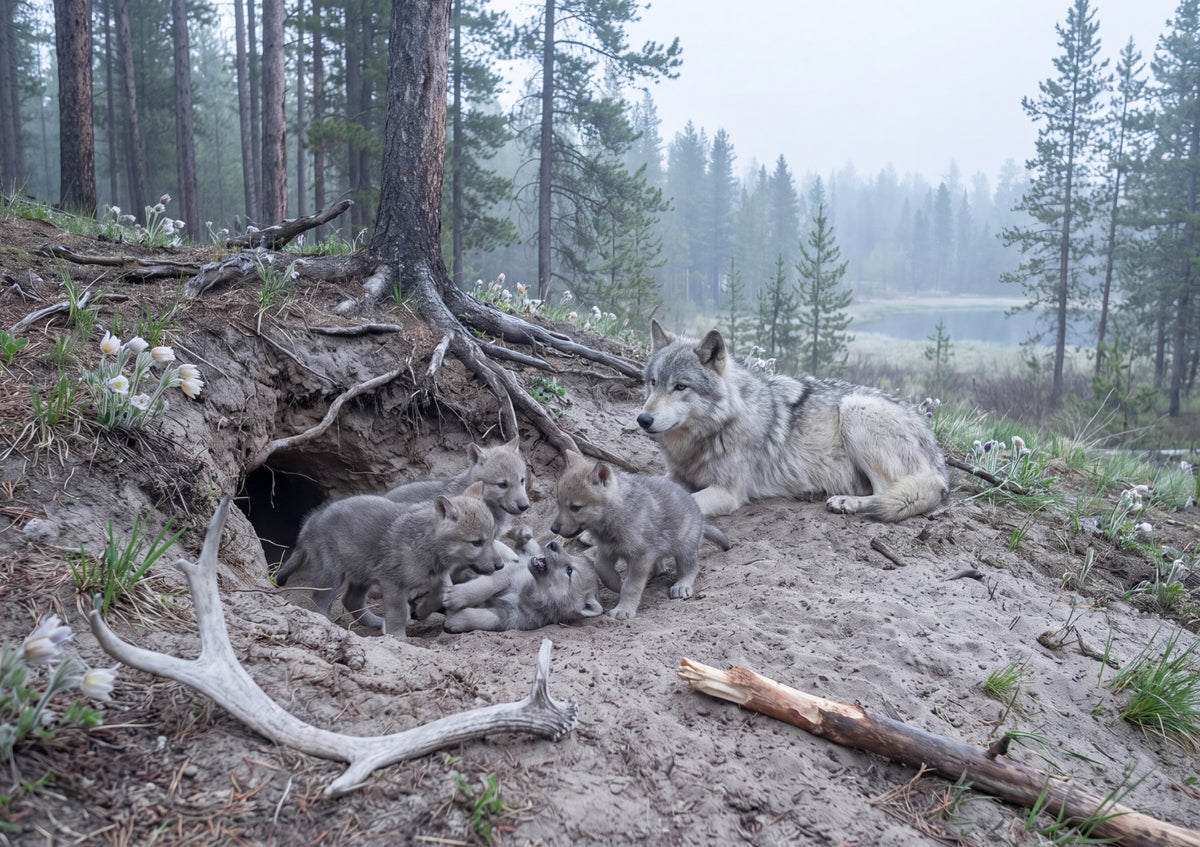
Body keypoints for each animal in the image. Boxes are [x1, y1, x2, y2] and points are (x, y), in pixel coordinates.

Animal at [275, 482, 503, 635]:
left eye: (492, 537)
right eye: (476, 542)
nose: (500, 565)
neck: (427, 545)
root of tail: (311, 522)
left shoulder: (439, 577)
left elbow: (441, 594)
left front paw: (423, 610)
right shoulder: (393, 583)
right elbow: (399, 613)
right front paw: (397, 637)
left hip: (362, 573)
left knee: (351, 600)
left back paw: (377, 622)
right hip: (331, 576)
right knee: (319, 605)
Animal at [441, 531, 603, 632]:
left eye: (569, 571)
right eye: (572, 555)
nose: (553, 544)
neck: (530, 591)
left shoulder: (511, 617)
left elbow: (487, 618)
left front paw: (455, 619)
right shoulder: (508, 572)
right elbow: (487, 585)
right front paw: (457, 596)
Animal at [550, 450, 730, 621]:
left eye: (575, 507)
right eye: (558, 503)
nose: (553, 529)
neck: (617, 513)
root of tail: (700, 516)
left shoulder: (641, 556)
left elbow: (632, 586)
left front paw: (623, 609)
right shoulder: (607, 550)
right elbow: (602, 570)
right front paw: (617, 584)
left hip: (684, 547)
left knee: (690, 568)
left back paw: (682, 585)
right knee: (658, 566)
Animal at [637, 320, 948, 522]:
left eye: (680, 387)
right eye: (653, 382)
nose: (643, 419)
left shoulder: (727, 493)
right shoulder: (677, 476)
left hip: (855, 408)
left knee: (887, 493)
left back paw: (846, 502)